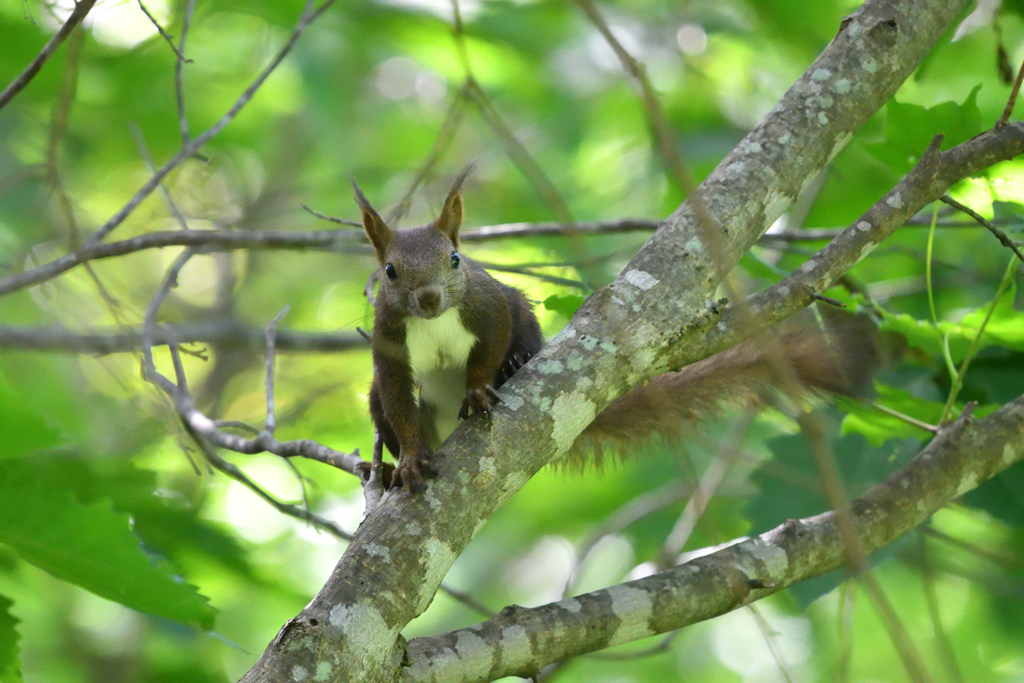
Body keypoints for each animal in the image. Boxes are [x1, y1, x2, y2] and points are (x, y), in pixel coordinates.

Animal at [354, 169, 880, 491]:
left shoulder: (487, 304)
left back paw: (515, 364)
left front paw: (483, 386)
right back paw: (386, 469)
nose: (428, 299)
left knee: (521, 335)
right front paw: (410, 460)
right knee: (382, 406)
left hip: (521, 313)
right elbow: (396, 395)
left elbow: (493, 338)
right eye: (390, 272)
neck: (434, 323)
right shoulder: (389, 342)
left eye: (455, 259)